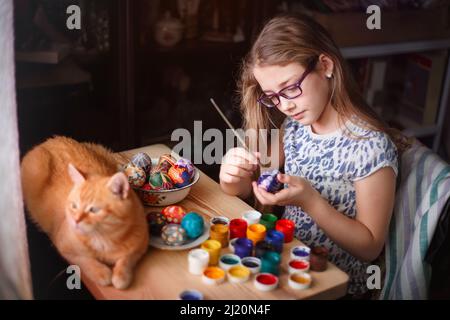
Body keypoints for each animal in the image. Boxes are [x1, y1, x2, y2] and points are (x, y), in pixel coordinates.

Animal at [21, 136, 149, 288]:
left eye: (94, 209)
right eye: (74, 206)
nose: (76, 220)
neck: (104, 239)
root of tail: (49, 140)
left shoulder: (141, 244)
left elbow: (127, 259)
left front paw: (121, 276)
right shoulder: (63, 246)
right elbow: (85, 261)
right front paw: (101, 272)